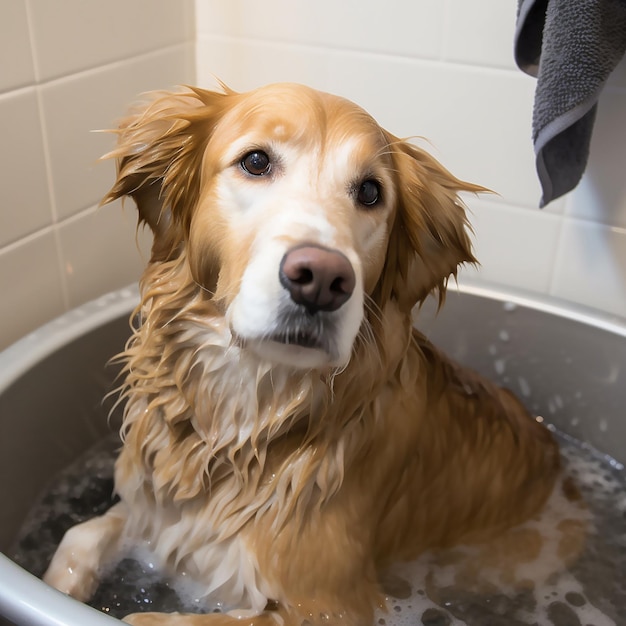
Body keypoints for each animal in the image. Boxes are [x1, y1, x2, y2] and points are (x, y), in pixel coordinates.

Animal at [45, 84, 560, 624]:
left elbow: (149, 618)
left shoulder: (334, 608)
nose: (322, 279)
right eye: (255, 161)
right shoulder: (155, 510)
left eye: (371, 192)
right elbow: (82, 532)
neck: (247, 423)